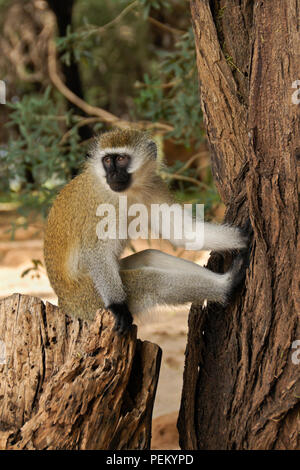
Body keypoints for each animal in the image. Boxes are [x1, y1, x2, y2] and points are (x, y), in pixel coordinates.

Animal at [42, 129, 248, 334]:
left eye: (121, 159)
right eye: (107, 161)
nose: (113, 174)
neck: (127, 192)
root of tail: (64, 302)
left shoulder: (154, 185)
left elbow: (181, 231)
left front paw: (243, 235)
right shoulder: (99, 204)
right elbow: (96, 252)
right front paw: (118, 307)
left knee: (151, 256)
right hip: (88, 298)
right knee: (152, 282)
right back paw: (227, 285)